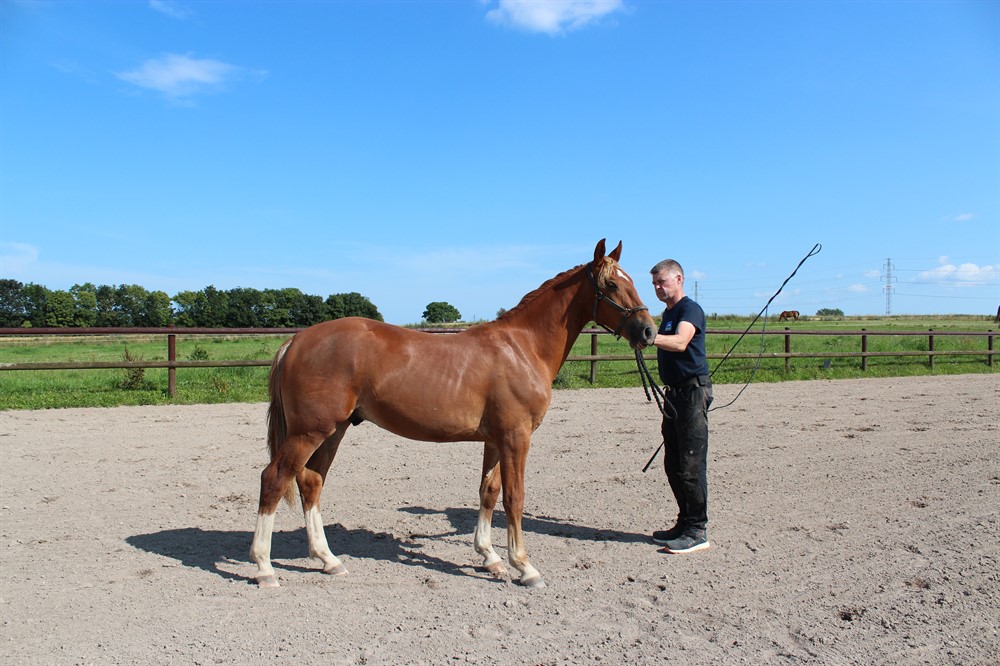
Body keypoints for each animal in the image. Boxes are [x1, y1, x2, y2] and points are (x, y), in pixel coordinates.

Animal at [249, 239, 657, 589]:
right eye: (611, 284)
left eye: (632, 281)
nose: (648, 332)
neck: (523, 348)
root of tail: (296, 341)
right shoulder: (516, 437)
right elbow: (515, 497)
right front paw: (524, 566)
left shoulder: (496, 440)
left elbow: (489, 492)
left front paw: (490, 557)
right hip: (309, 432)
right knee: (274, 479)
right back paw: (265, 568)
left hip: (333, 430)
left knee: (310, 482)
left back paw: (328, 559)